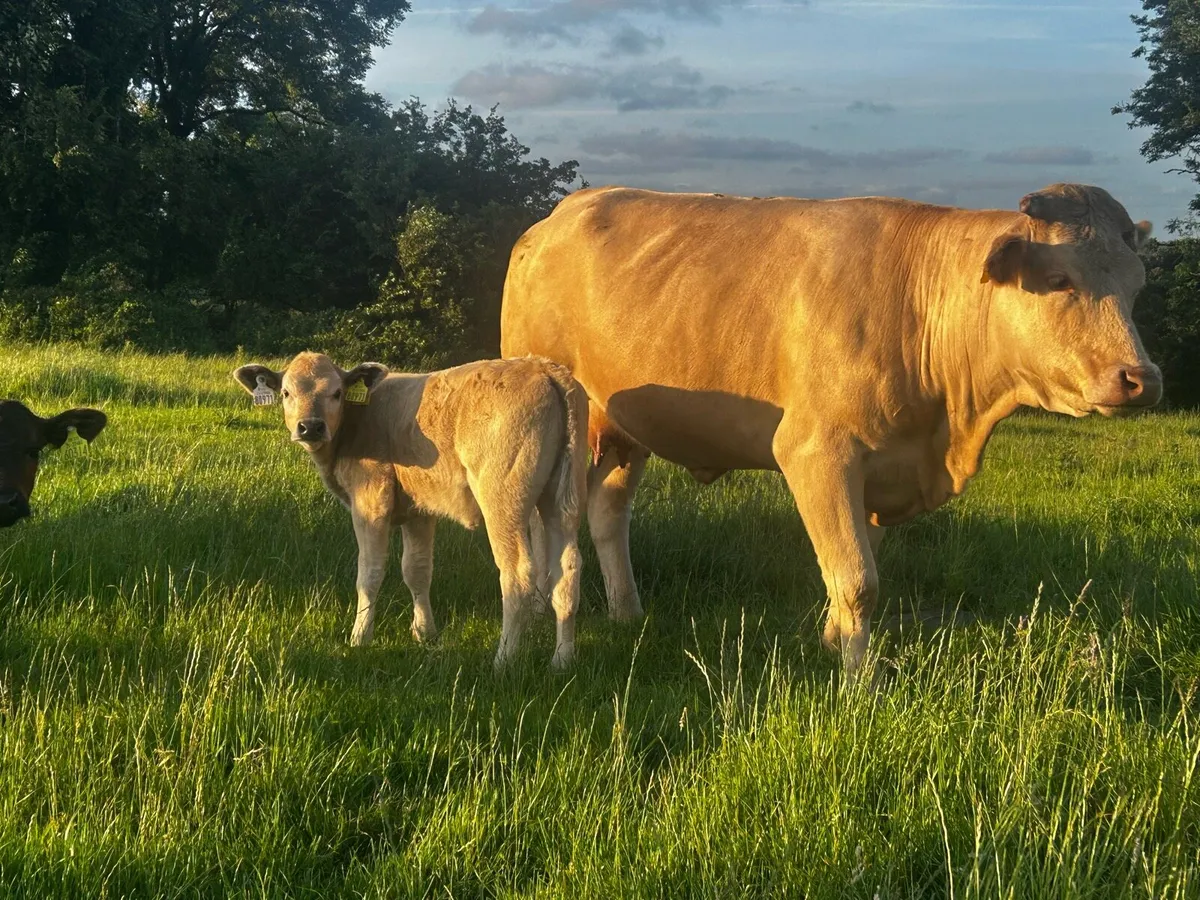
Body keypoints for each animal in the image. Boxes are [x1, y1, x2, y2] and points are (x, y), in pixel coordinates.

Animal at [233, 352, 589, 670]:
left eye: (336, 393)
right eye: (286, 393)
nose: (310, 427)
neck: (356, 422)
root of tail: (543, 367)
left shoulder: (370, 500)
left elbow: (370, 571)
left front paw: (359, 637)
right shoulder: (419, 509)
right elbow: (417, 569)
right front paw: (424, 633)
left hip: (503, 500)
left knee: (518, 574)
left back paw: (504, 660)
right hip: (560, 499)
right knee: (567, 570)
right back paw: (562, 661)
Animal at [500, 182, 1161, 677]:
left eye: (1136, 285)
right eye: (1060, 280)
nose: (1142, 379)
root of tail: (554, 220)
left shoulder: (884, 468)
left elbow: (855, 566)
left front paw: (830, 640)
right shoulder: (817, 453)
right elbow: (859, 579)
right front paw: (861, 684)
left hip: (623, 430)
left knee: (609, 513)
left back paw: (628, 614)